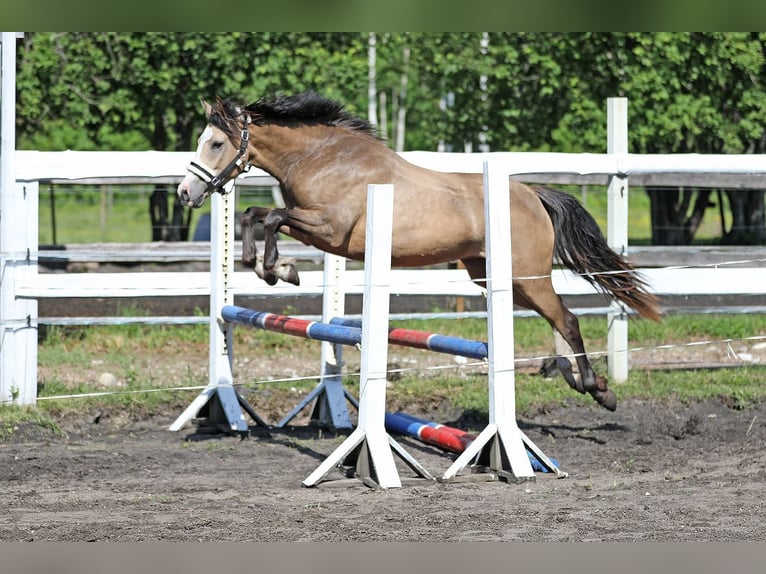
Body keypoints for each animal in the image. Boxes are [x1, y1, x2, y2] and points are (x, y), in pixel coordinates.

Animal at [177, 91, 664, 414]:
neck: (322, 157)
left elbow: (274, 218)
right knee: (559, 319)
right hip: (495, 277)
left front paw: (281, 270)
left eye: (215, 143)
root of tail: (532, 194)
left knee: (568, 319)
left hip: (527, 276)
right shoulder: (316, 228)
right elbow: (253, 215)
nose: (185, 193)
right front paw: (266, 266)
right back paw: (581, 380)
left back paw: (598, 390)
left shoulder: (329, 229)